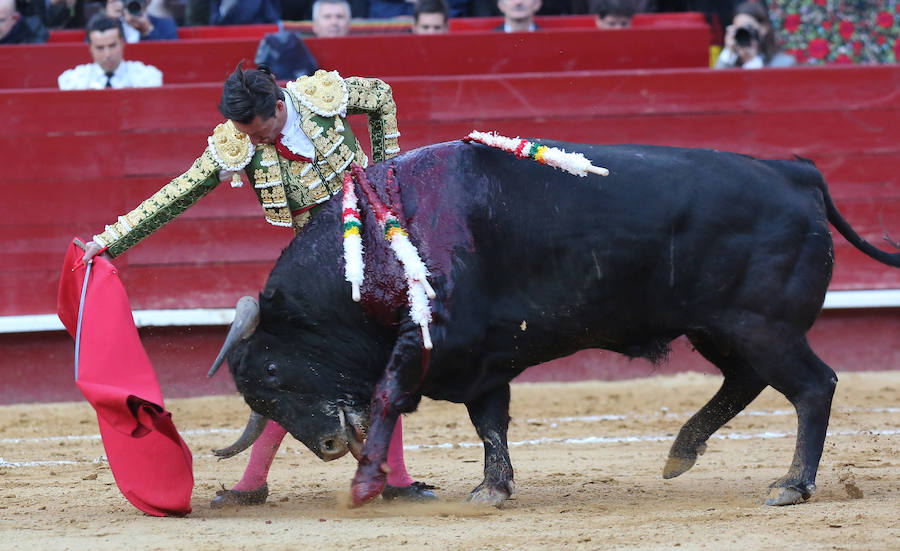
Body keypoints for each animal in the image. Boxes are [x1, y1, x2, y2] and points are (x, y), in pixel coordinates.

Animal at [206, 139, 900, 508]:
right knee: (747, 381)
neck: (375, 242)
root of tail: (795, 171)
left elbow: (387, 394)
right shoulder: (480, 362)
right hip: (720, 328)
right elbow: (488, 423)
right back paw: (682, 452)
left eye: (273, 370)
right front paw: (492, 489)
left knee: (813, 387)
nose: (327, 447)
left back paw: (792, 485)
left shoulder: (432, 340)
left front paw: (365, 482)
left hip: (760, 325)